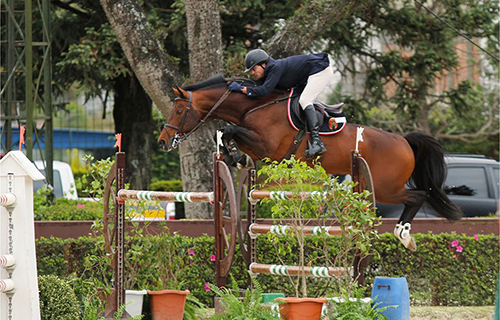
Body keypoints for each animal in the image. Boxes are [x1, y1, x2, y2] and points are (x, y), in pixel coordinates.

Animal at [158, 74, 462, 250]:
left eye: (180, 110)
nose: (163, 141)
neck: (254, 106)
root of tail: (404, 141)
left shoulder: (267, 147)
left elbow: (229, 130)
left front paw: (231, 152)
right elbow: (227, 133)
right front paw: (233, 155)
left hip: (387, 187)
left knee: (417, 196)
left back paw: (404, 235)